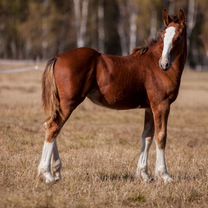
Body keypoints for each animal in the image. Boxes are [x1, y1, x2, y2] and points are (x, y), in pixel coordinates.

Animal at [38, 8, 188, 183]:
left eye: (178, 37)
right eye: (164, 36)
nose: (164, 64)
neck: (154, 65)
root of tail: (58, 57)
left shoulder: (149, 108)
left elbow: (147, 137)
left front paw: (144, 174)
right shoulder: (161, 105)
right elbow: (161, 136)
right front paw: (164, 175)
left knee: (49, 125)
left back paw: (55, 171)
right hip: (68, 103)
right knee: (54, 127)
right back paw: (47, 174)